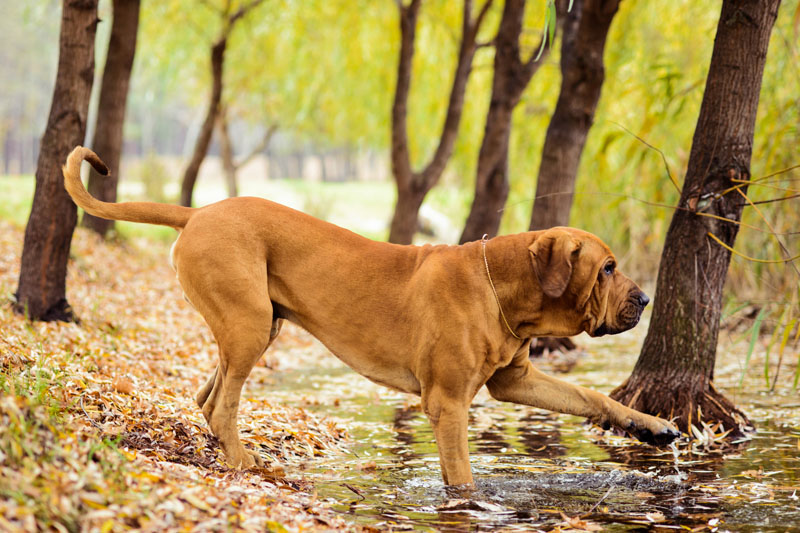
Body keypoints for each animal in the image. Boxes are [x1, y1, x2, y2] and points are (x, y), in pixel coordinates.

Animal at [62, 145, 680, 486]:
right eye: (607, 268)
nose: (645, 299)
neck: (502, 287)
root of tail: (197, 212)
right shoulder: (448, 404)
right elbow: (462, 477)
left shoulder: (515, 380)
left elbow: (592, 396)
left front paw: (650, 427)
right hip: (248, 324)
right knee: (221, 405)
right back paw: (246, 464)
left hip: (258, 323)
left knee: (206, 395)